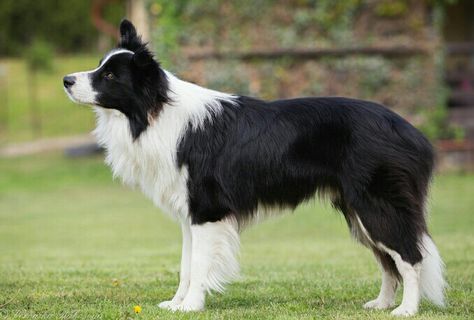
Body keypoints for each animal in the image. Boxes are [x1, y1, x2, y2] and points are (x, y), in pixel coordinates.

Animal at [65, 20, 446, 318]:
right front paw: (176, 304)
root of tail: (414, 133)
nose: (67, 80)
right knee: (388, 260)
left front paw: (191, 307)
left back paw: (406, 309)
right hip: (358, 209)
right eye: (100, 66)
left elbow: (199, 264)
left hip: (376, 204)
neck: (153, 112)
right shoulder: (190, 214)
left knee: (409, 256)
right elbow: (186, 264)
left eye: (109, 75)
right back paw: (382, 304)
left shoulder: (207, 210)